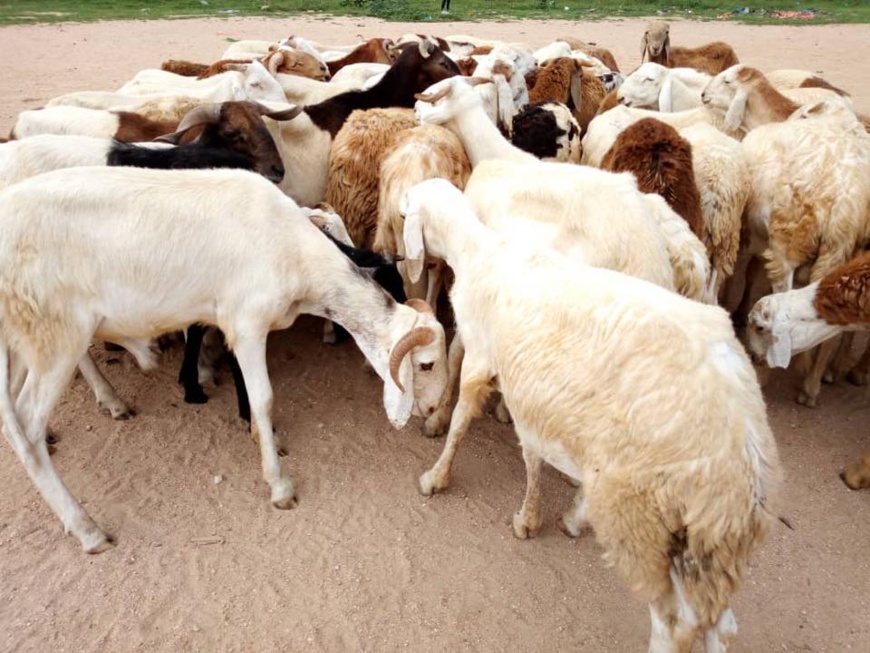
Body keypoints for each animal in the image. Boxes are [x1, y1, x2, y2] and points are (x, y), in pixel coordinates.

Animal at [0, 165, 448, 553]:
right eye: (425, 364)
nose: (430, 410)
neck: (295, 253)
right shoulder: (246, 324)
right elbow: (264, 398)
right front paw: (279, 485)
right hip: (56, 334)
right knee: (27, 427)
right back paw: (87, 529)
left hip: (23, 338)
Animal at [401, 177, 781, 653]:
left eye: (404, 214)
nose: (400, 258)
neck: (478, 250)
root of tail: (745, 447)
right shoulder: (533, 391)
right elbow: (532, 455)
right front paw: (531, 517)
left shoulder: (483, 360)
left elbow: (461, 422)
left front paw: (436, 475)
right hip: (706, 545)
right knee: (715, 627)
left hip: (644, 512)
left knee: (673, 623)